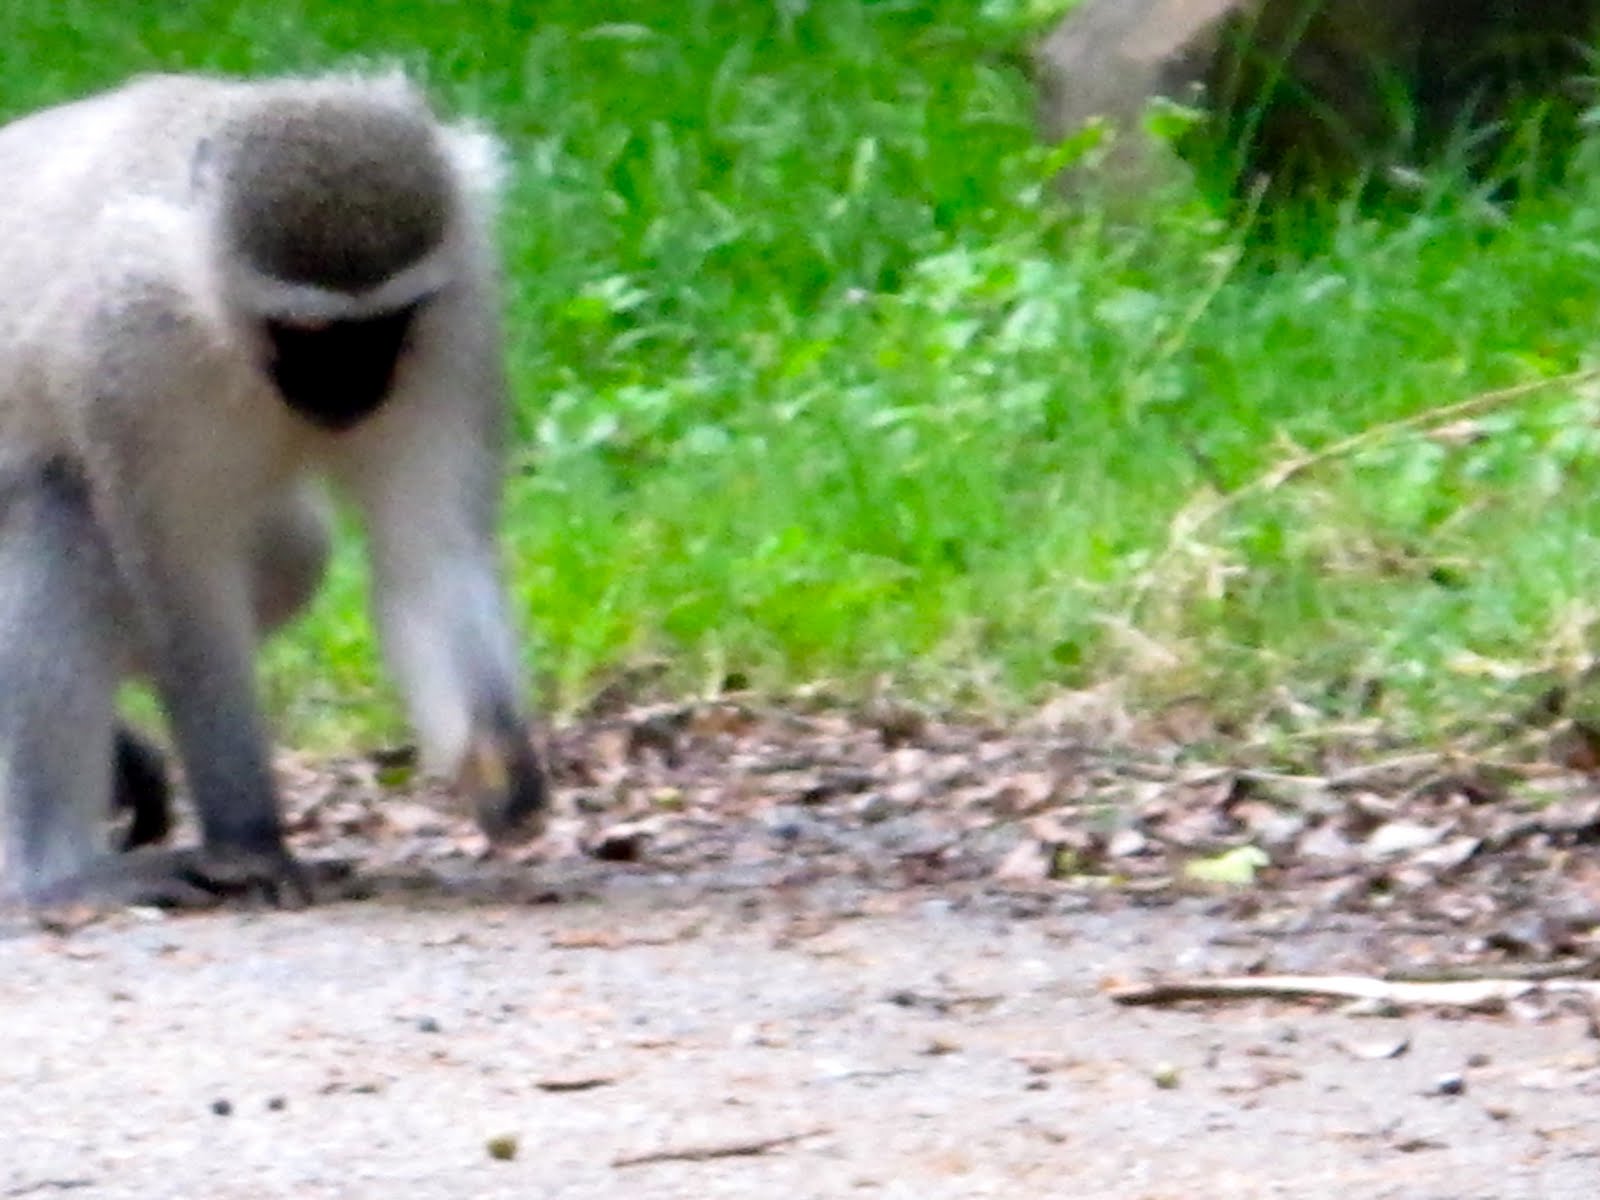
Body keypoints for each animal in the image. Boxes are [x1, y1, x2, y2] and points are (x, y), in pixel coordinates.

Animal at [0, 70, 547, 909]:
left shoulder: (456, 318)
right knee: (62, 515)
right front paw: (251, 840)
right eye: (309, 332)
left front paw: (493, 760)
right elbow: (189, 601)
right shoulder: (128, 353)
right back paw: (56, 876)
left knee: (297, 552)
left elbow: (429, 554)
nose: (354, 395)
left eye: (384, 324)